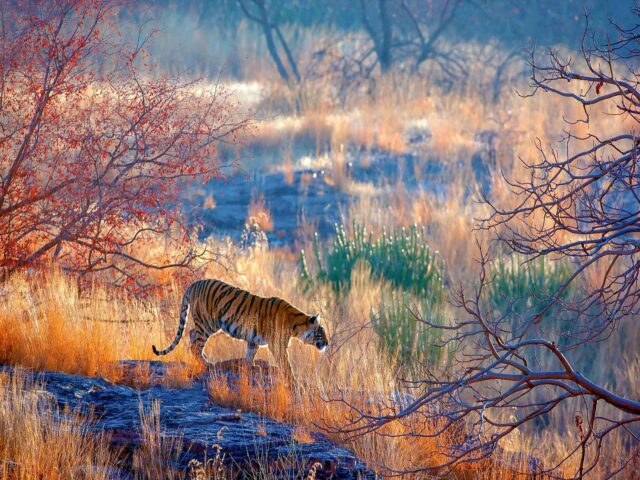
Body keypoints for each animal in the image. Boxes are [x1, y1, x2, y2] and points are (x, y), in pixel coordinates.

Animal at [152, 279, 329, 384]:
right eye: (321, 334)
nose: (327, 343)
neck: (296, 325)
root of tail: (195, 283)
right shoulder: (277, 345)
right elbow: (285, 363)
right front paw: (292, 380)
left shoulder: (253, 339)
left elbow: (250, 354)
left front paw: (251, 367)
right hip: (207, 323)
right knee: (195, 343)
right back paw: (208, 363)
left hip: (205, 324)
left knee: (192, 335)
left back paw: (205, 358)